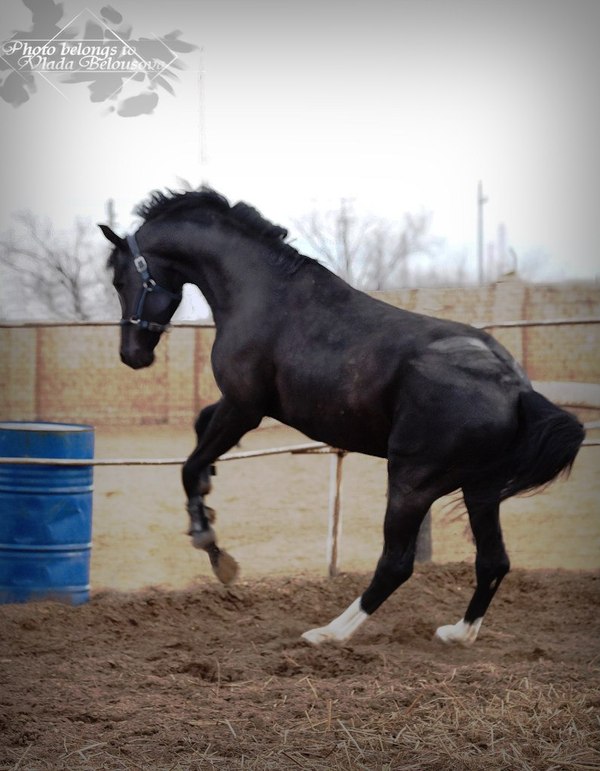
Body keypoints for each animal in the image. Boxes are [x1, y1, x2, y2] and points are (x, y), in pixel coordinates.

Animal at [101, 190, 584, 648]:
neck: (263, 294)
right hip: (479, 490)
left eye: (119, 279)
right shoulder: (238, 406)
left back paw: (328, 633)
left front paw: (214, 548)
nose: (131, 355)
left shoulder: (244, 407)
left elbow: (189, 465)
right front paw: (208, 498)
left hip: (412, 483)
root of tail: (515, 388)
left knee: (397, 564)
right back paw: (456, 634)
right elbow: (199, 435)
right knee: (492, 561)